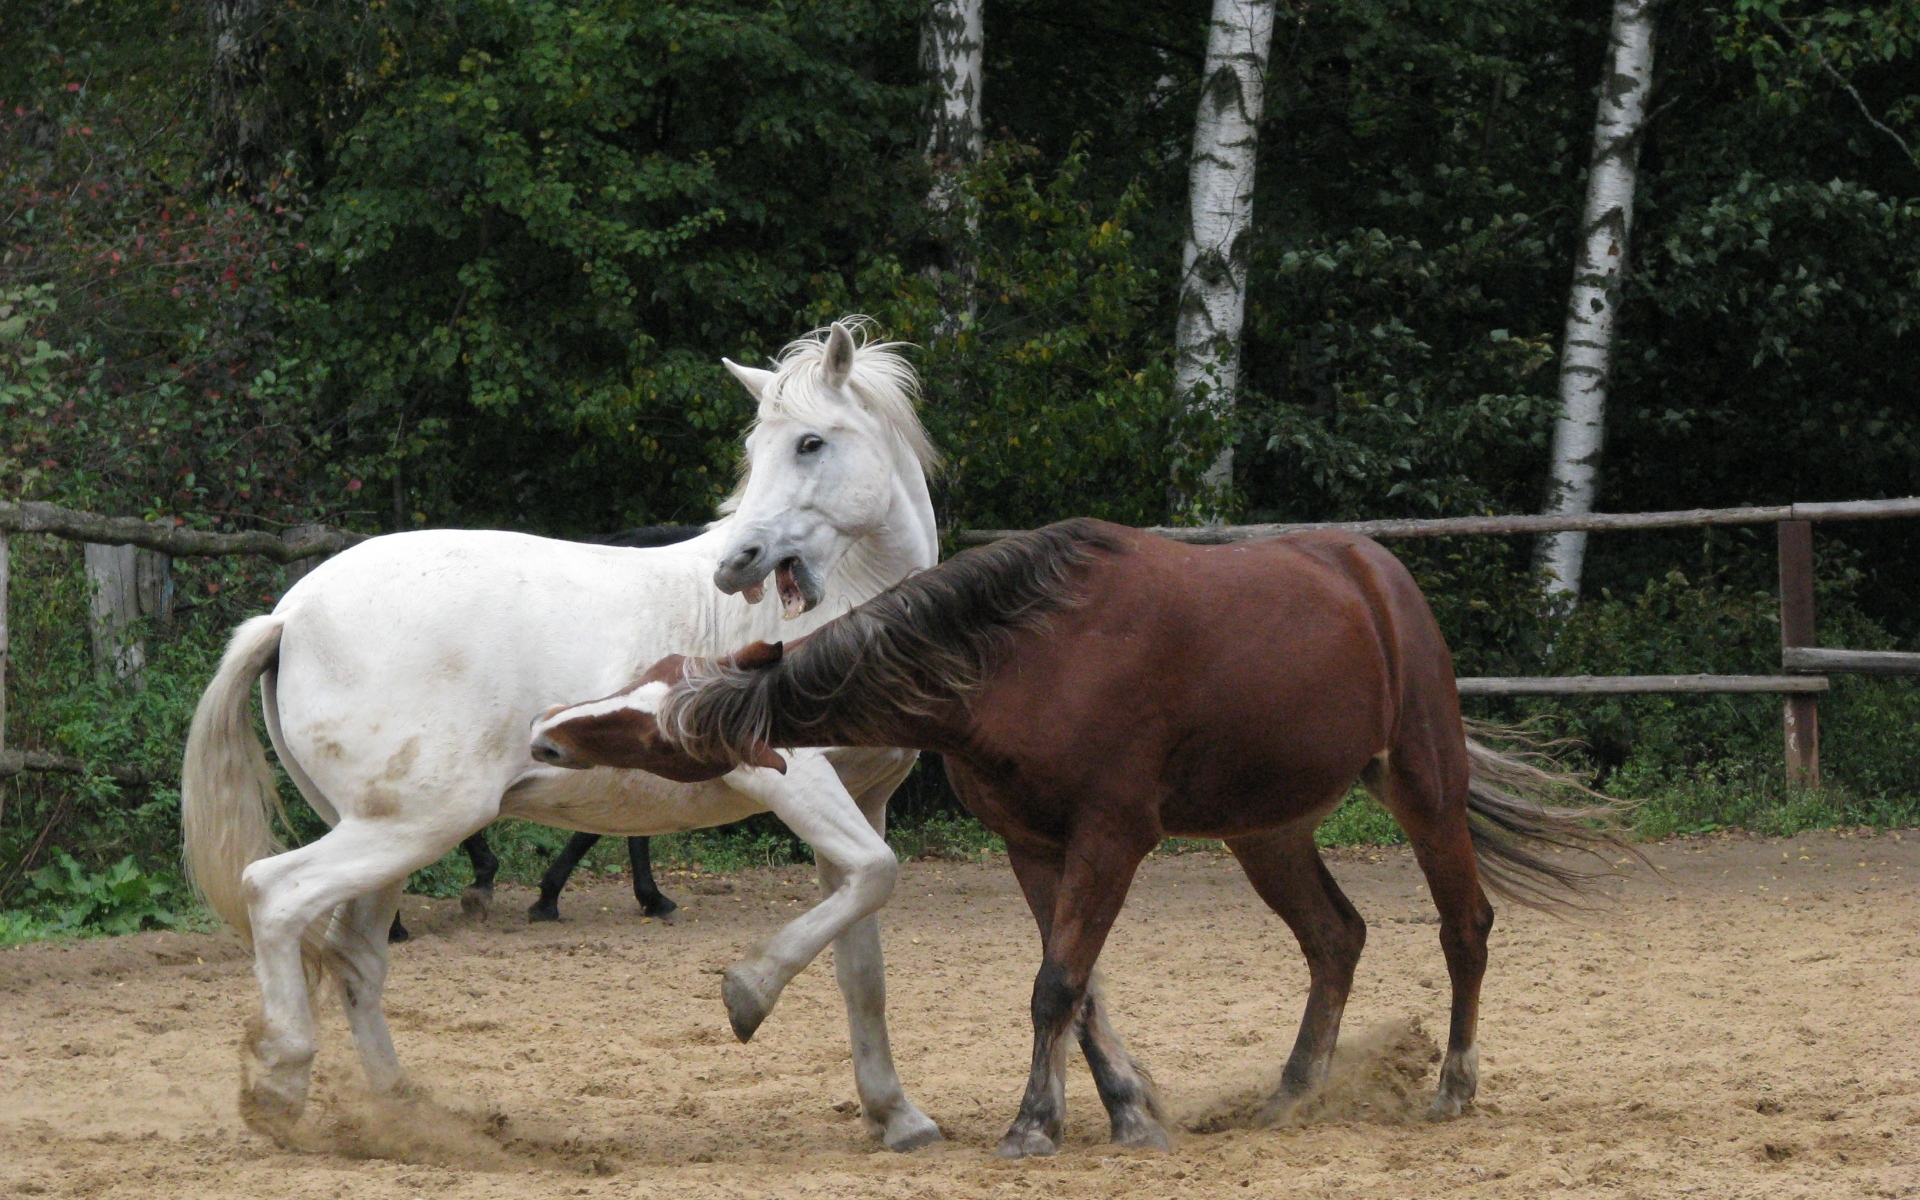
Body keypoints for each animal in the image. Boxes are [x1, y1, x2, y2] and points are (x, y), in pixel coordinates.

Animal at [181, 320, 947, 1152]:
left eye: (810, 443)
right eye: (756, 448)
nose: (735, 563)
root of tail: (289, 615)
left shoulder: (864, 800)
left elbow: (863, 962)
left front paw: (898, 1116)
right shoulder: (792, 778)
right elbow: (878, 876)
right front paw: (748, 992)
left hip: (383, 833)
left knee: (354, 955)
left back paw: (405, 1115)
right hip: (418, 823)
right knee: (275, 894)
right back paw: (280, 1088)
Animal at [529, 519, 1628, 1158]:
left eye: (653, 729)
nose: (546, 730)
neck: (1019, 656)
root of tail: (1377, 574)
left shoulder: (1113, 833)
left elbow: (1058, 982)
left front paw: (1032, 1125)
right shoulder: (1035, 843)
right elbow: (1077, 983)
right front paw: (1112, 1111)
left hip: (1421, 780)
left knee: (1465, 926)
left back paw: (1452, 1087)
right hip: (1267, 830)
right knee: (1336, 938)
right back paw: (1294, 1091)